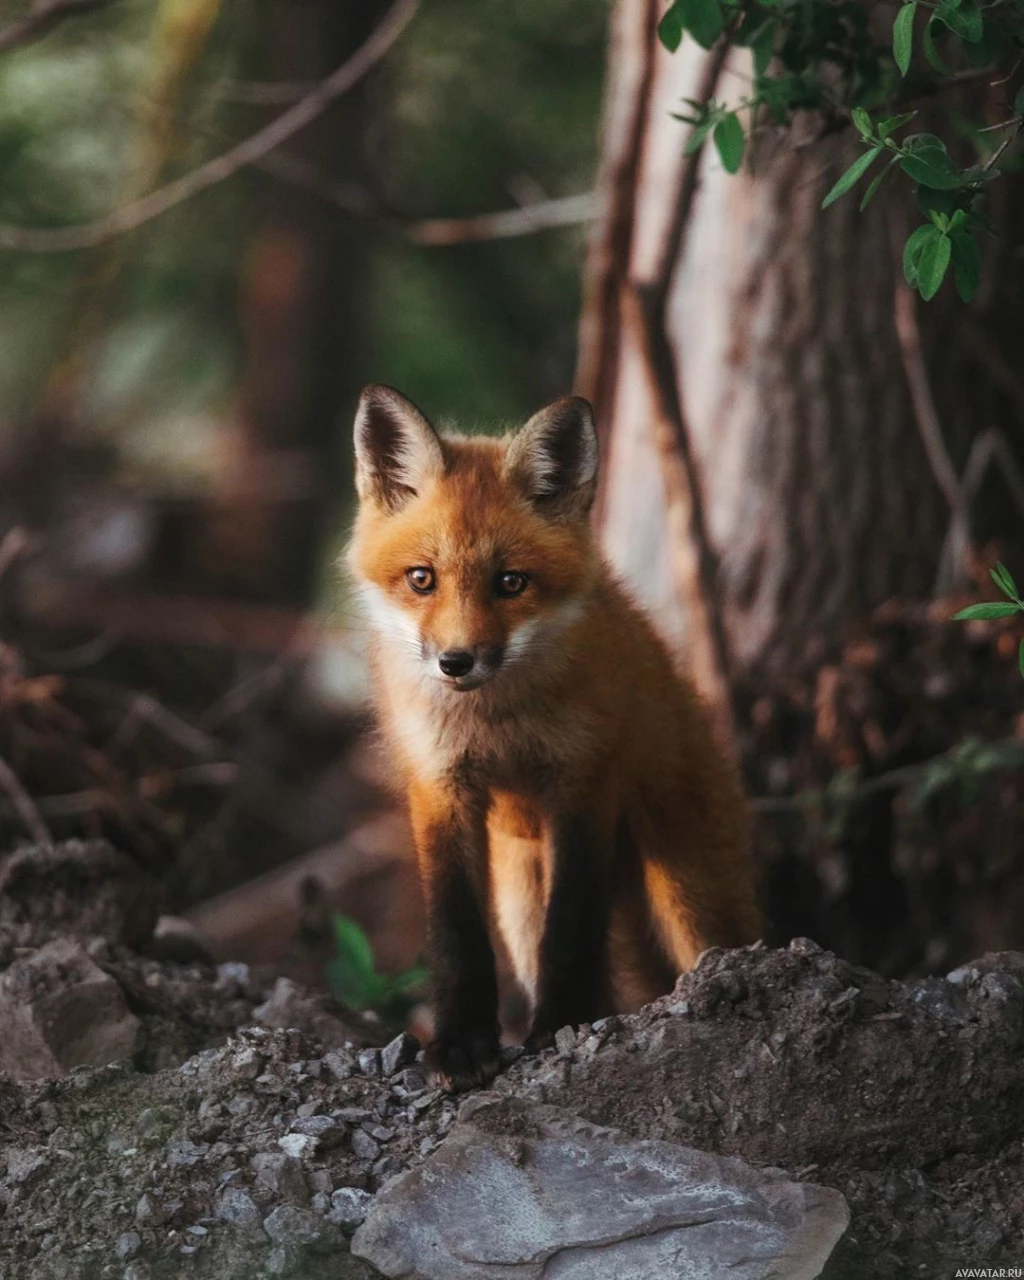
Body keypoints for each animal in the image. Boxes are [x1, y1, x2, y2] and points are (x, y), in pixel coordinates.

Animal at [348, 381, 762, 1090]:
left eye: (510, 583)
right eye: (422, 579)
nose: (456, 662)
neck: (498, 724)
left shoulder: (584, 780)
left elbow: (570, 925)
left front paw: (564, 1023)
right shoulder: (439, 785)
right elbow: (455, 932)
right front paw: (461, 1043)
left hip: (686, 894)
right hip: (519, 895)